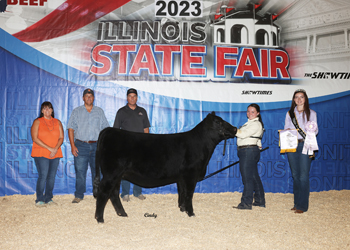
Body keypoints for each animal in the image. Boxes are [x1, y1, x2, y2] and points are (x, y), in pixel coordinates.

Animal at [93, 111, 237, 223]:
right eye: (219, 122)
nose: (235, 128)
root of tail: (109, 130)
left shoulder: (182, 177)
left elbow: (182, 192)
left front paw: (182, 209)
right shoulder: (191, 174)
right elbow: (189, 194)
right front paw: (191, 213)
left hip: (117, 175)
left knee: (114, 193)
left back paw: (122, 213)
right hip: (111, 173)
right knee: (104, 191)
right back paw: (100, 218)